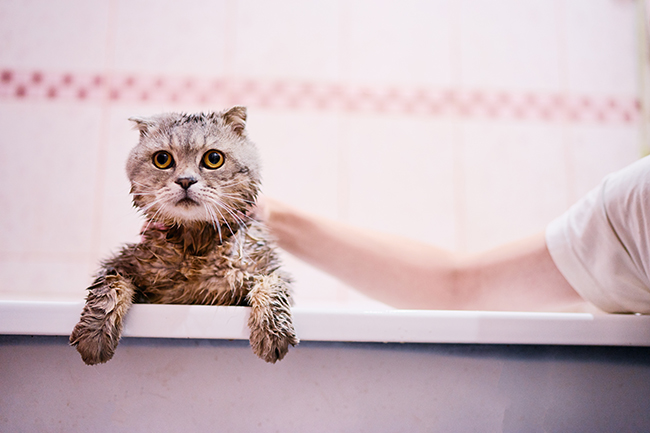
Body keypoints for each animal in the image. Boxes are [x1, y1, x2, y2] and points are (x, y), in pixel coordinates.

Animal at [69, 106, 298, 362]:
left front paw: (272, 332)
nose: (185, 180)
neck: (195, 240)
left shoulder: (267, 268)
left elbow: (273, 287)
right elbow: (108, 287)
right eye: (162, 159)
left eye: (214, 159)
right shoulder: (120, 263)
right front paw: (94, 333)